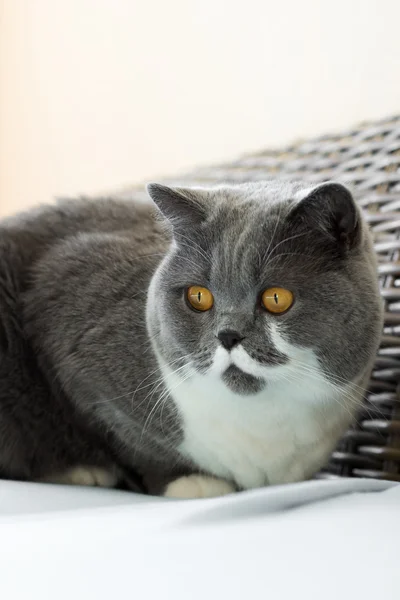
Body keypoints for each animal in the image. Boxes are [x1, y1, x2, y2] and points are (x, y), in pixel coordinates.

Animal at [0, 182, 382, 496]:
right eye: (198, 296)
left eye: (276, 298)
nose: (228, 335)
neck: (261, 419)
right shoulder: (72, 317)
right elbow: (134, 442)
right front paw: (192, 482)